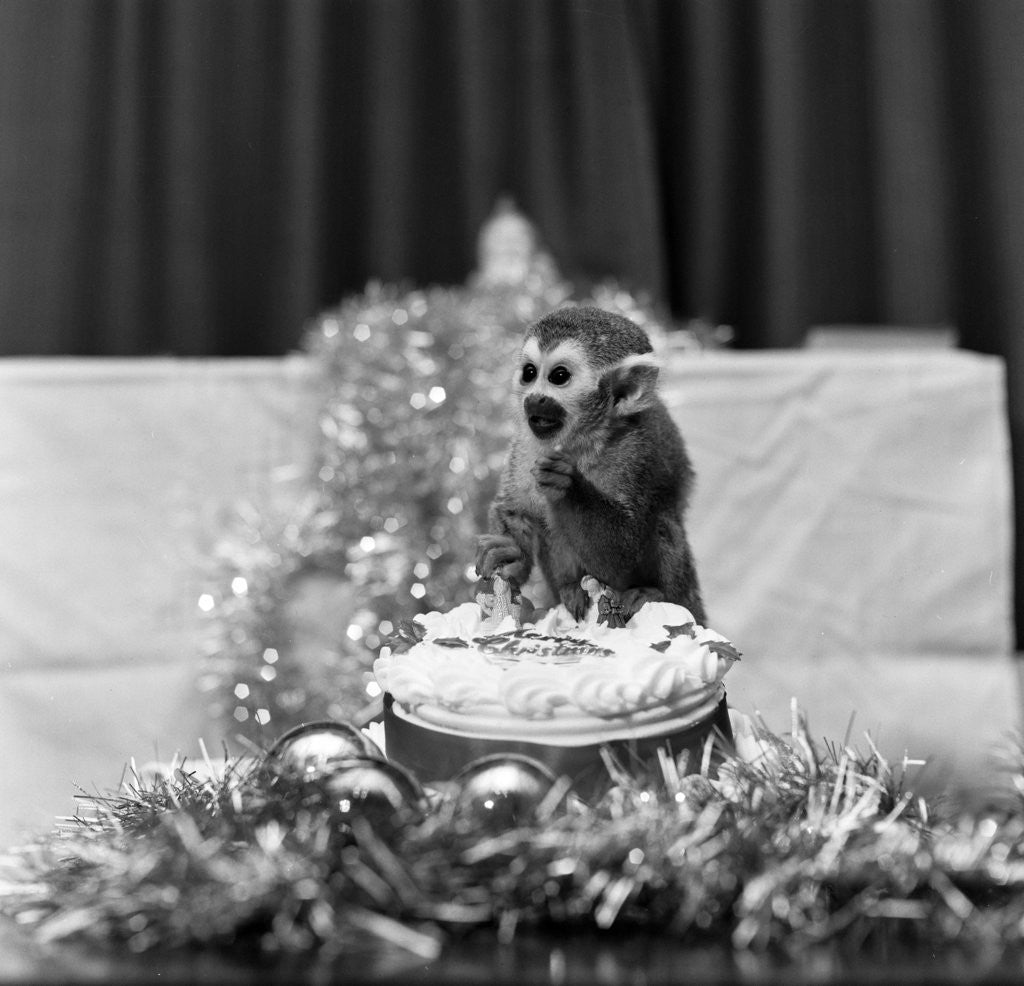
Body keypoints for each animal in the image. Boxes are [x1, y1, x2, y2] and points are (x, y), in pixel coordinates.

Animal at [475, 305, 706, 625]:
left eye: (559, 376)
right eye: (529, 373)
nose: (534, 398)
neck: (582, 442)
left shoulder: (635, 452)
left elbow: (623, 552)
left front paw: (567, 485)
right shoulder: (524, 446)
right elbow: (513, 508)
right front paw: (512, 557)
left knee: (663, 519)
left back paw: (656, 594)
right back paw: (570, 587)